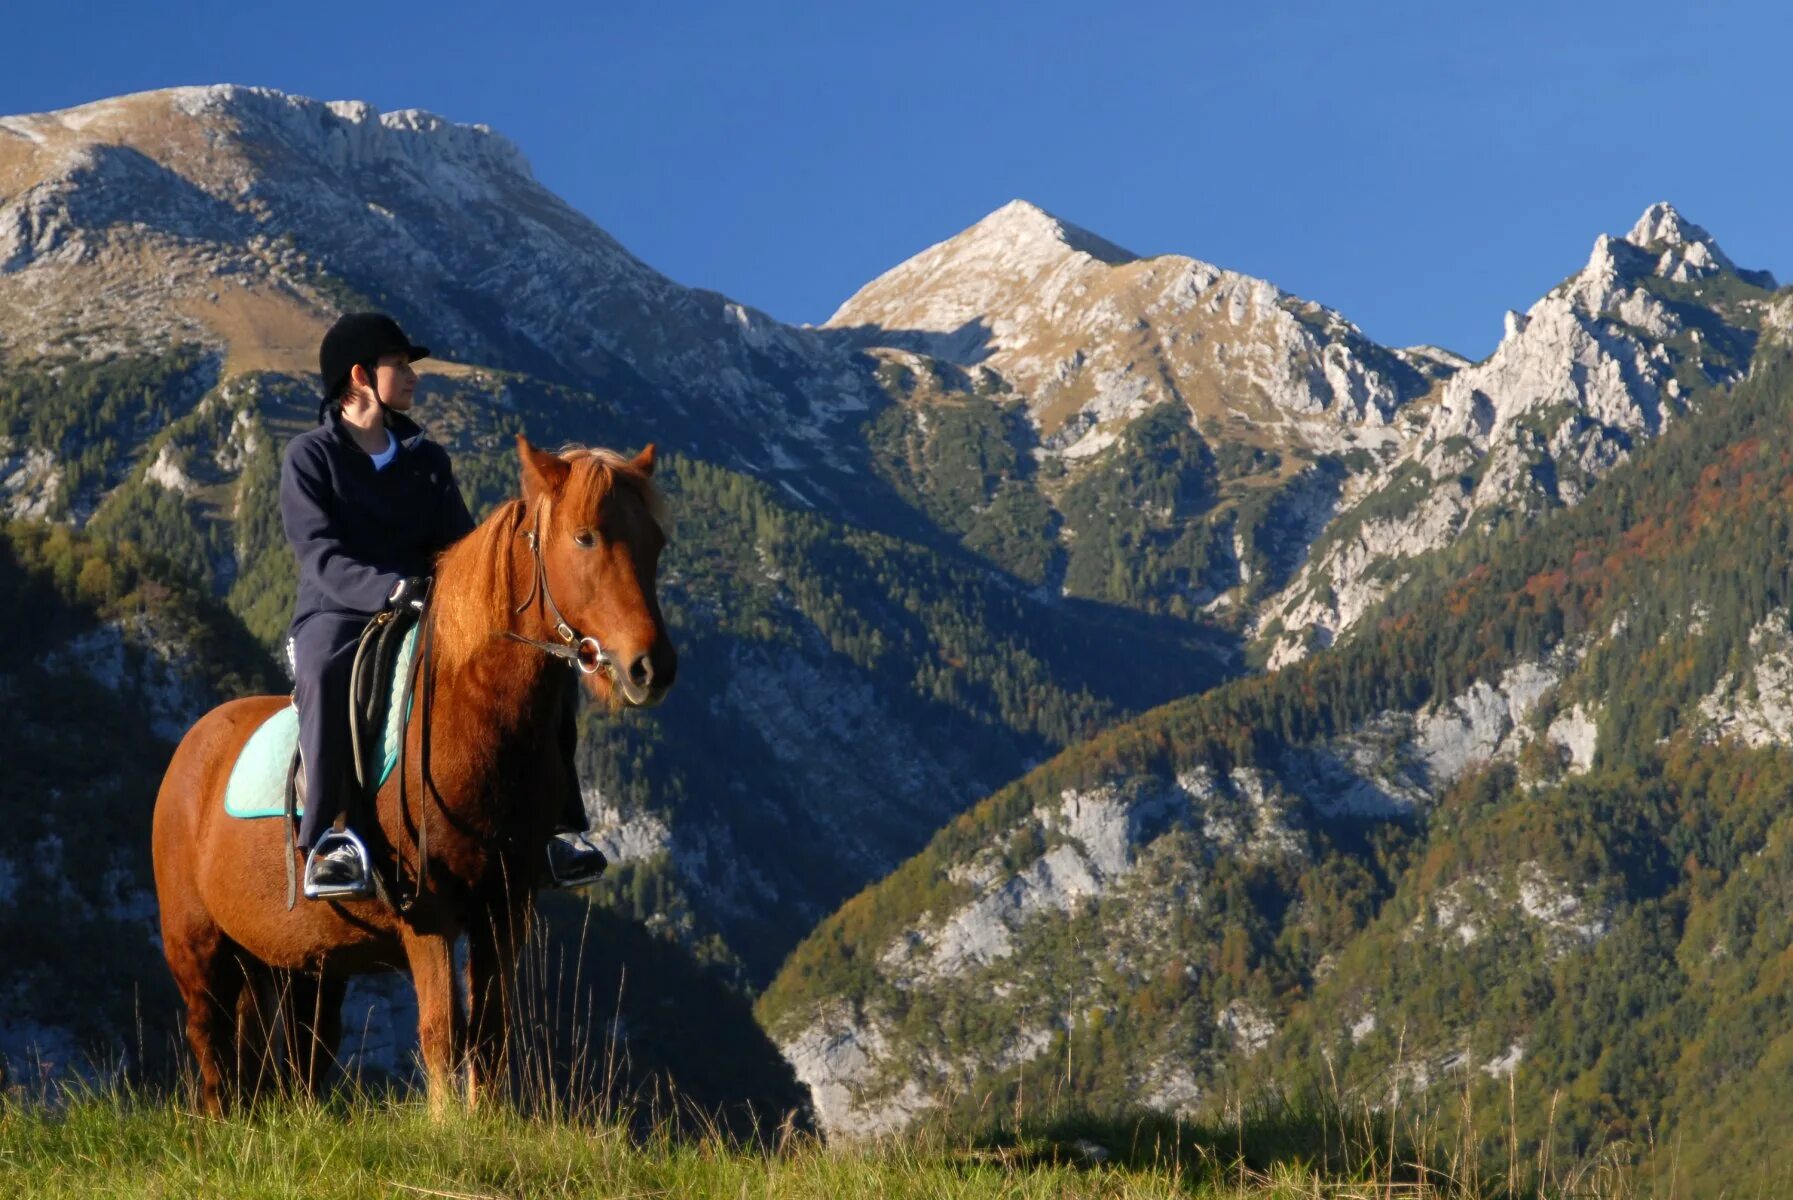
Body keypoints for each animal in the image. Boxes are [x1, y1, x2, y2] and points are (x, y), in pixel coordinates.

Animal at [150, 435, 674, 1112]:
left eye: (655, 541)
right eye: (585, 537)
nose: (651, 668)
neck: (468, 716)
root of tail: (194, 746)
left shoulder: (506, 906)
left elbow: (491, 1030)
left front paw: (484, 1119)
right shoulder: (429, 911)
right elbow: (442, 1029)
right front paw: (448, 1123)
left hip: (302, 965)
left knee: (299, 1058)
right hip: (198, 950)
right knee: (211, 1051)